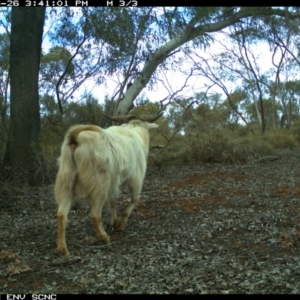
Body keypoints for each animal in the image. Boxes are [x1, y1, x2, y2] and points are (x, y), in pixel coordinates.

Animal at [55, 116, 161, 256]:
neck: (136, 132)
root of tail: (75, 139)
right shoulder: (136, 178)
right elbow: (135, 199)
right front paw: (120, 223)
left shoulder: (113, 183)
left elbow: (112, 201)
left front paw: (114, 221)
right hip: (99, 184)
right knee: (95, 214)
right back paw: (103, 237)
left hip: (66, 181)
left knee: (61, 214)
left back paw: (62, 249)